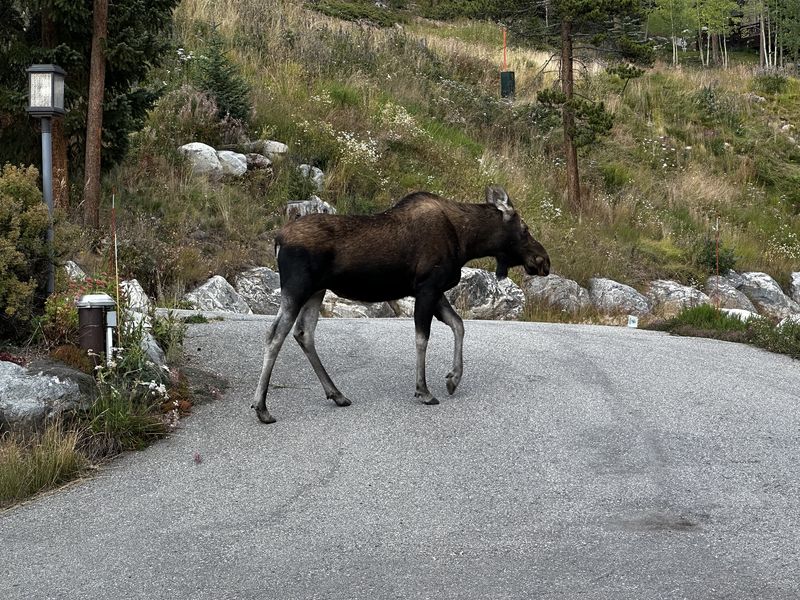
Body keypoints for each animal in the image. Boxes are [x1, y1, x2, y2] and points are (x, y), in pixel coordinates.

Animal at [252, 186, 550, 423]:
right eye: (525, 229)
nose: (543, 260)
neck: (467, 242)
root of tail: (277, 240)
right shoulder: (428, 287)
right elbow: (423, 338)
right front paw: (424, 390)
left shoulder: (434, 289)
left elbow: (459, 324)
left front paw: (453, 378)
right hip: (298, 287)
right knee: (275, 335)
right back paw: (262, 407)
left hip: (316, 290)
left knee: (304, 333)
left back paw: (336, 394)